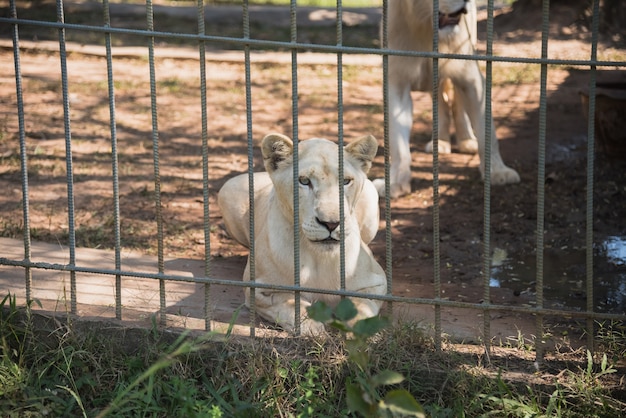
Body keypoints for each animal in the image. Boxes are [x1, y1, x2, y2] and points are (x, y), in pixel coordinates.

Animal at [218, 134, 386, 336]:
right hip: (229, 189)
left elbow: (362, 305)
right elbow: (290, 303)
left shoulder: (377, 283)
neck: (318, 257)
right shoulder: (258, 290)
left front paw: (361, 329)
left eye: (346, 181)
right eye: (304, 181)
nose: (331, 223)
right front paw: (312, 327)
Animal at [372, 0, 520, 199]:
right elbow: (398, 144)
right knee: (441, 106)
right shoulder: (397, 84)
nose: (468, 1)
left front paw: (498, 172)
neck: (426, 28)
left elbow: (488, 133)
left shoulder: (471, 79)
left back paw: (466, 141)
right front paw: (396, 184)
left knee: (458, 106)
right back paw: (440, 142)